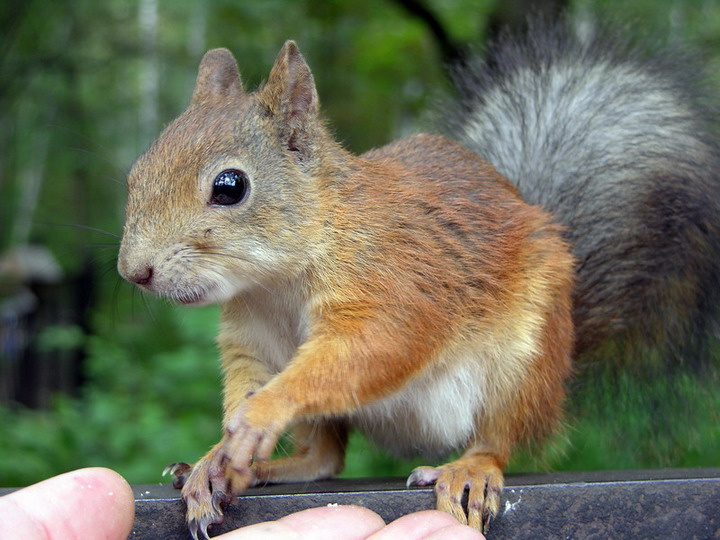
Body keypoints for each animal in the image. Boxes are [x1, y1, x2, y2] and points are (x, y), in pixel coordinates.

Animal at [118, 18, 720, 539]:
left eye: (229, 186)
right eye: (136, 173)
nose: (134, 272)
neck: (276, 281)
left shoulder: (393, 282)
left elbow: (375, 346)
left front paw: (258, 417)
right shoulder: (255, 337)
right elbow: (251, 380)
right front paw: (216, 457)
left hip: (523, 366)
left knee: (499, 439)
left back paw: (471, 469)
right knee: (325, 458)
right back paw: (261, 467)